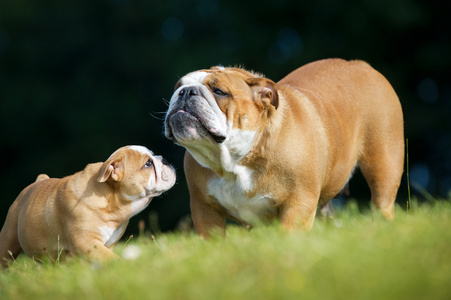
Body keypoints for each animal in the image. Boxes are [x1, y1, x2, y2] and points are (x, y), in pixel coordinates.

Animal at [0, 146, 176, 268]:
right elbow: (110, 258)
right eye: (148, 164)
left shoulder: (107, 244)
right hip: (9, 239)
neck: (111, 202)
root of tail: (38, 180)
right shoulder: (87, 242)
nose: (165, 159)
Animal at [165, 58, 406, 237]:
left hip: (384, 162)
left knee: (382, 199)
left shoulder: (298, 204)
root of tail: (362, 65)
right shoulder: (204, 209)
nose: (185, 92)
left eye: (219, 91)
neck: (235, 161)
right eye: (177, 87)